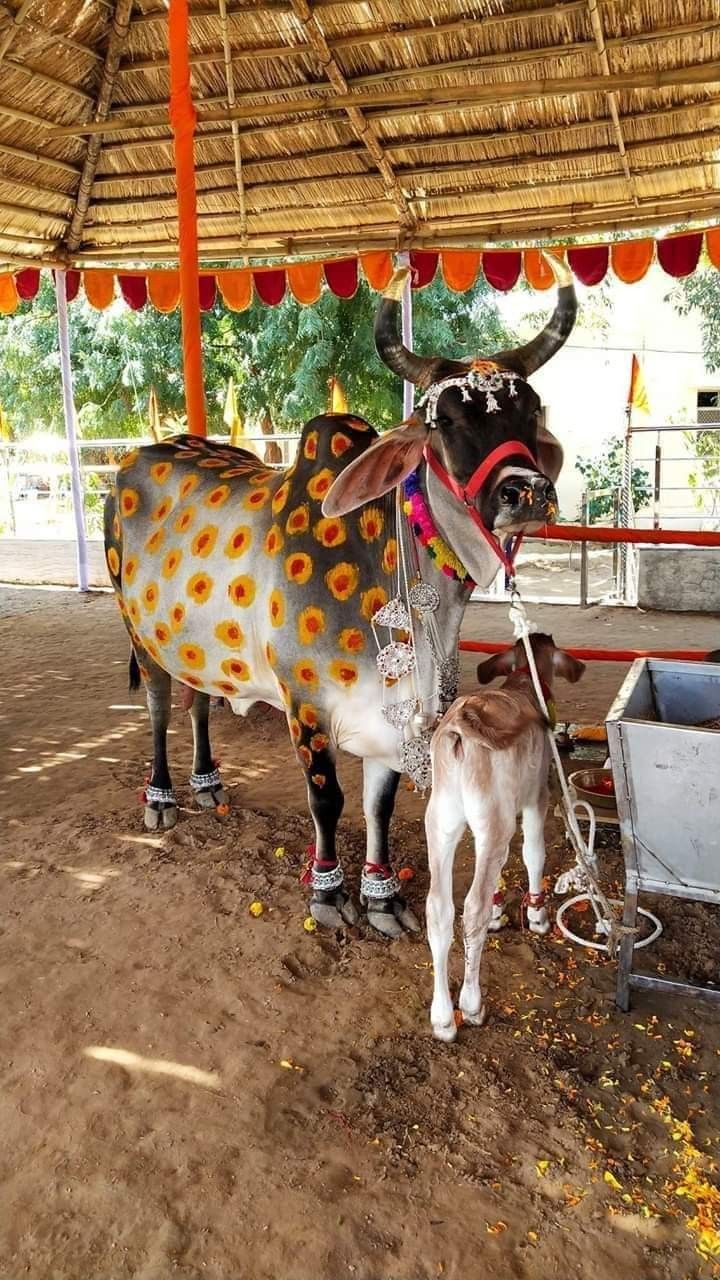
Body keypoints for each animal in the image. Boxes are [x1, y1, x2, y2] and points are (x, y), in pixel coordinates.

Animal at [104, 259, 576, 937]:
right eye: (444, 421)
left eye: (531, 410)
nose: (528, 492)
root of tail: (138, 454)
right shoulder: (306, 705)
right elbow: (328, 799)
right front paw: (327, 892)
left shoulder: (395, 713)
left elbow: (379, 804)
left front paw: (381, 895)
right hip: (140, 637)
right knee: (162, 709)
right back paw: (162, 796)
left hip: (194, 645)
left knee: (199, 706)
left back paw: (207, 782)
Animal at [425, 633, 585, 1042]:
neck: (524, 683)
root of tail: (461, 725)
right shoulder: (536, 797)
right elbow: (534, 853)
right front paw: (538, 916)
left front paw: (501, 912)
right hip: (495, 819)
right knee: (472, 907)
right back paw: (471, 1005)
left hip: (443, 821)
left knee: (439, 908)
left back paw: (443, 1017)